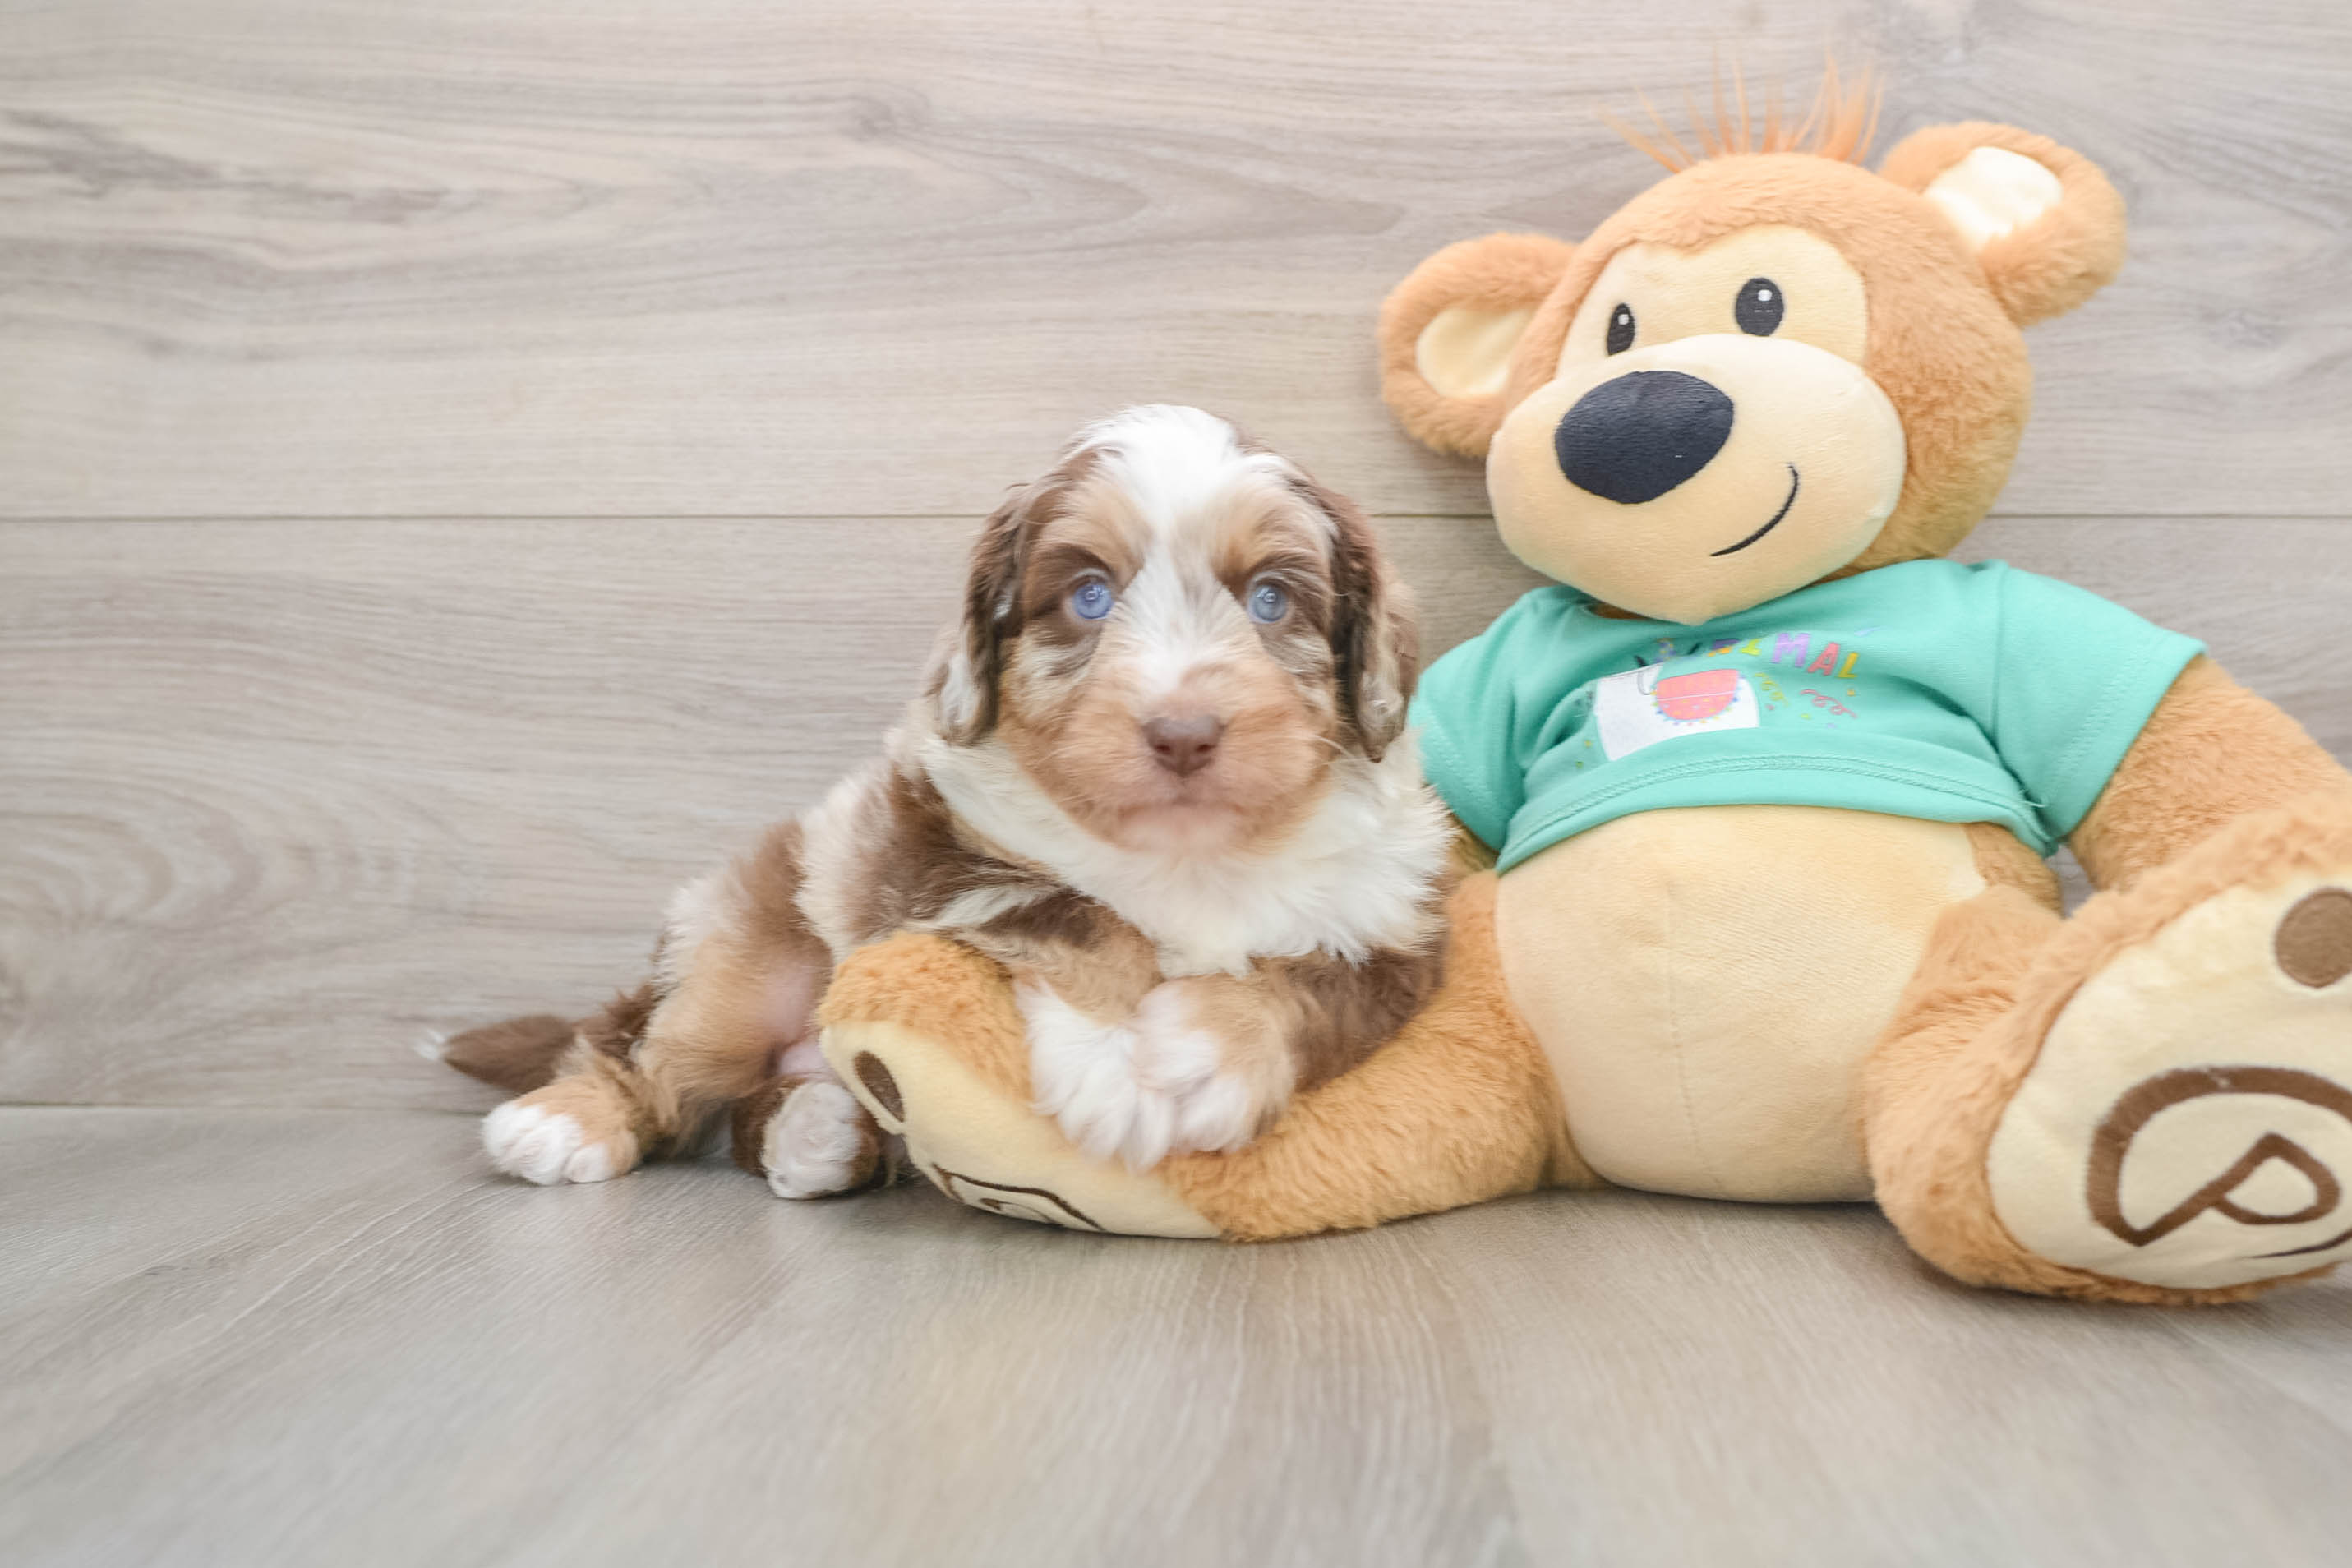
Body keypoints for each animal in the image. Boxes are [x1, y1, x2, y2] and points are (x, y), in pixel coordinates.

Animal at [438, 406, 1455, 1198]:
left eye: (1272, 599)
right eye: (1090, 595)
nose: (1183, 733)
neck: (1191, 856)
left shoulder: (1393, 933)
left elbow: (1309, 991)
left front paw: (1197, 1060)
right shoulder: (926, 850)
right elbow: (1079, 912)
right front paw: (1117, 1067)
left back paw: (819, 1133)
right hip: (737, 958)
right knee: (644, 1051)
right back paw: (566, 1121)